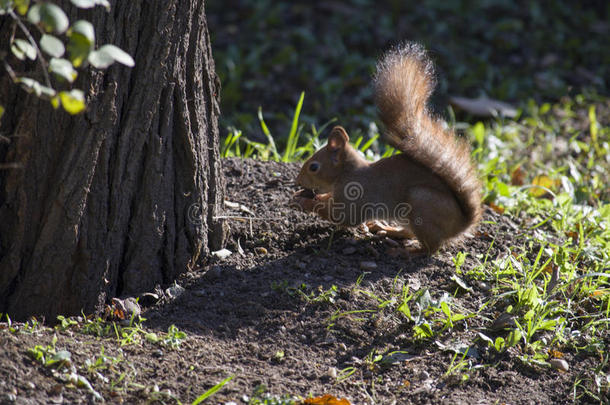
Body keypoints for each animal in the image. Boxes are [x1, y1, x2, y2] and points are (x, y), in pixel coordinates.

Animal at [292, 42, 482, 254]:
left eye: (313, 167)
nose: (298, 181)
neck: (346, 172)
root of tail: (461, 224)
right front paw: (307, 196)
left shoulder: (356, 196)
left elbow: (342, 215)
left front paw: (303, 201)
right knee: (410, 232)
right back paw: (388, 230)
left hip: (421, 204)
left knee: (430, 247)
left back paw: (406, 252)